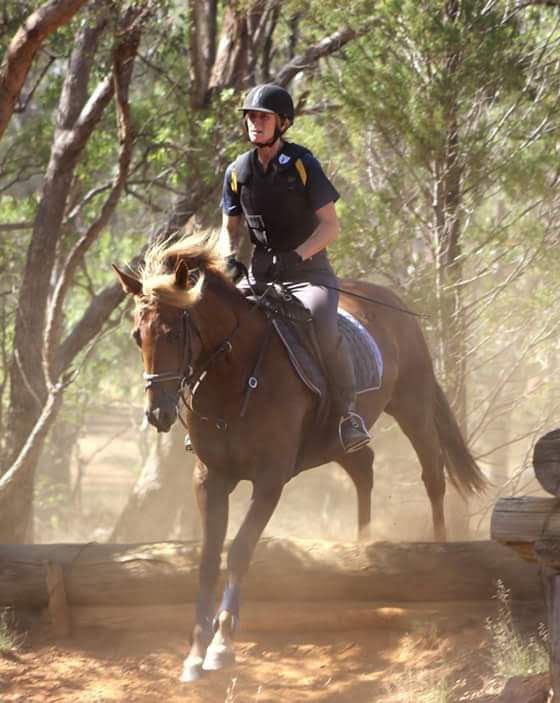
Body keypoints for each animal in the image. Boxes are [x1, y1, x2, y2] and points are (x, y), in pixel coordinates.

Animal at [114, 231, 486, 680]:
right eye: (138, 336)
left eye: (172, 333)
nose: (158, 414)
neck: (233, 375)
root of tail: (393, 301)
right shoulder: (210, 478)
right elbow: (207, 559)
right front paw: (195, 652)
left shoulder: (269, 480)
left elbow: (239, 550)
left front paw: (222, 644)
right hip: (338, 441)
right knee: (364, 470)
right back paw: (363, 543)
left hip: (411, 404)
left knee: (432, 473)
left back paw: (439, 551)